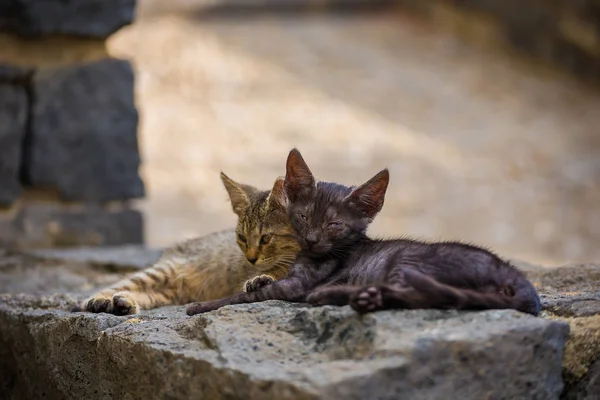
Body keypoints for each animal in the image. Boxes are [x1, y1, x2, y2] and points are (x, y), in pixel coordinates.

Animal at [78, 173, 300, 316]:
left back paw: (124, 304)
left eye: (265, 238)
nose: (251, 259)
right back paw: (100, 300)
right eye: (242, 238)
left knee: (145, 295)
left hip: (168, 294)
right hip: (163, 271)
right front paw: (261, 279)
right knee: (113, 288)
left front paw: (264, 279)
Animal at [186, 148, 540, 316]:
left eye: (334, 225)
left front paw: (201, 305)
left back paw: (336, 294)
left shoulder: (294, 286)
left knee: (423, 296)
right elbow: (256, 284)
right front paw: (256, 278)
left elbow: (237, 297)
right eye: (302, 216)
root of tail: (517, 277)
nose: (311, 239)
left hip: (408, 262)